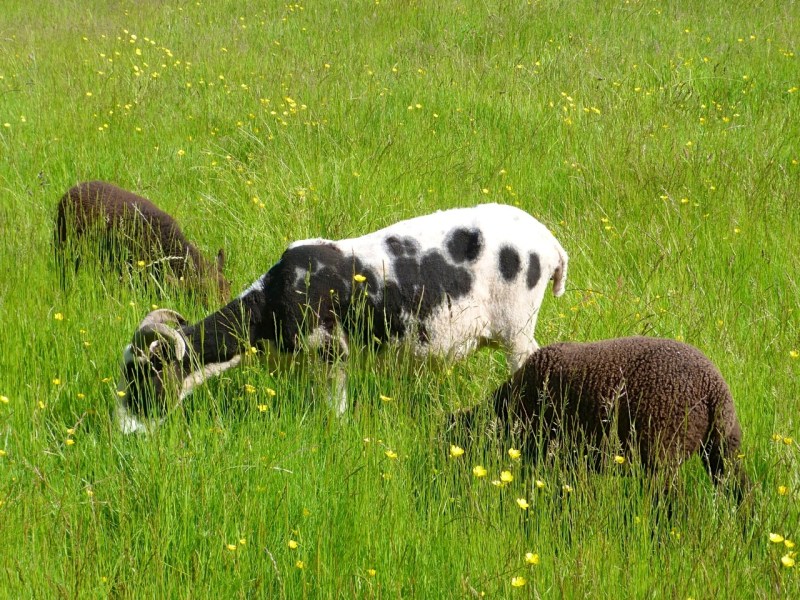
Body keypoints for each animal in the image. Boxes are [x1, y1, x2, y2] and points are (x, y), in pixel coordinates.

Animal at [116, 203, 568, 433]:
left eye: (145, 376)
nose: (126, 433)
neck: (270, 303)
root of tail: (552, 246)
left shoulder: (331, 353)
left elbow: (334, 412)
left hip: (517, 329)